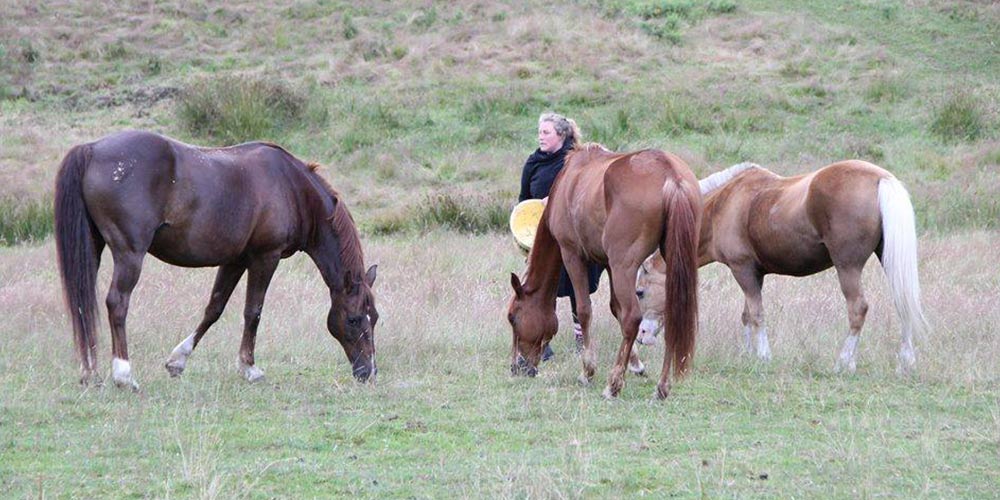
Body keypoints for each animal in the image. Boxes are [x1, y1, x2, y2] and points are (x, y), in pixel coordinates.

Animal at [54, 130, 379, 391]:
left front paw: (178, 360)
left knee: (83, 304)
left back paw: (90, 373)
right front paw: (249, 368)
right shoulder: (265, 258)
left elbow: (214, 309)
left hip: (92, 248)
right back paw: (123, 374)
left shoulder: (235, 261)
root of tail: (92, 148)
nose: (369, 372)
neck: (292, 187)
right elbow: (253, 312)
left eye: (374, 318)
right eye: (353, 318)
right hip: (129, 254)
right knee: (117, 303)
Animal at [507, 144, 701, 399]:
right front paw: (635, 364)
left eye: (512, 317)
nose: (516, 367)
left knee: (632, 318)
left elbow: (584, 310)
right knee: (670, 315)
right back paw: (661, 387)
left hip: (623, 266)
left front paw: (588, 370)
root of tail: (671, 175)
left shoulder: (573, 255)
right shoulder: (608, 264)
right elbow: (615, 308)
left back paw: (613, 385)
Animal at [635, 160, 927, 373]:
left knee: (857, 309)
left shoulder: (742, 270)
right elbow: (747, 315)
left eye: (640, 291)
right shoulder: (754, 274)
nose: (642, 335)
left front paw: (763, 356)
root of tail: (881, 178)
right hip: (887, 259)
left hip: (848, 268)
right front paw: (748, 354)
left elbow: (757, 314)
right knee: (903, 302)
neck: (724, 205)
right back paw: (906, 361)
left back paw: (844, 362)